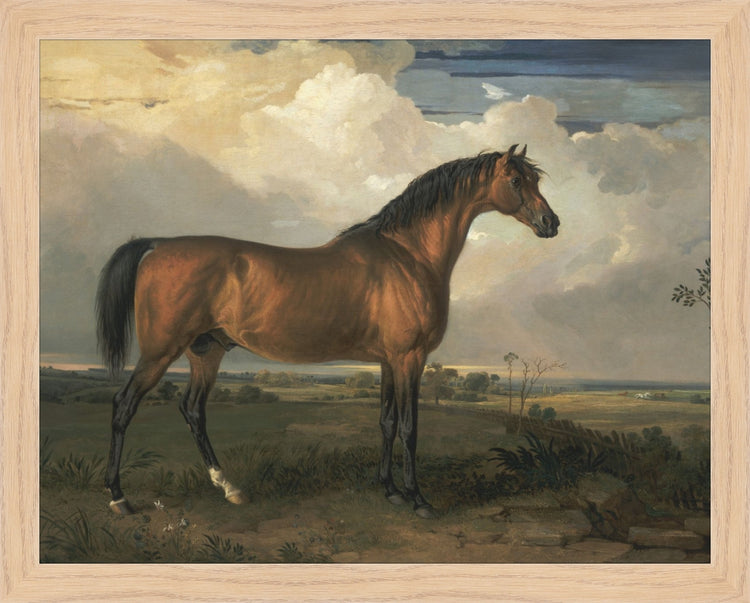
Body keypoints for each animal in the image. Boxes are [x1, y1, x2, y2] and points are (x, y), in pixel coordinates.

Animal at [96, 144, 559, 518]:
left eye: (536, 178)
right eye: (516, 180)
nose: (550, 222)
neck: (407, 255)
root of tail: (158, 245)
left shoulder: (388, 361)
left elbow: (386, 422)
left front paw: (390, 491)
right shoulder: (409, 359)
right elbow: (409, 429)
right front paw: (418, 500)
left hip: (205, 351)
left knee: (193, 410)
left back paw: (230, 489)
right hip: (160, 352)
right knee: (123, 406)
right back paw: (119, 498)